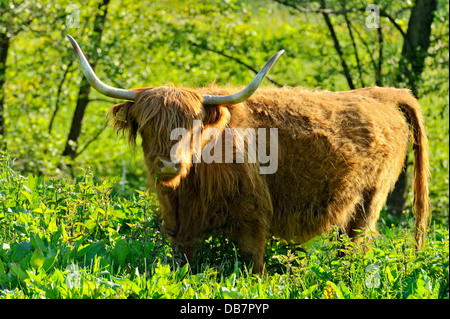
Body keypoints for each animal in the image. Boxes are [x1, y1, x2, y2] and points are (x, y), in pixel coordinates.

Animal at [68, 35, 430, 276]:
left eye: (193, 125)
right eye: (147, 125)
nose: (169, 163)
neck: (189, 187)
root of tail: (382, 93)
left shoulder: (253, 215)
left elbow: (252, 265)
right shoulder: (178, 227)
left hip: (371, 199)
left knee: (357, 246)